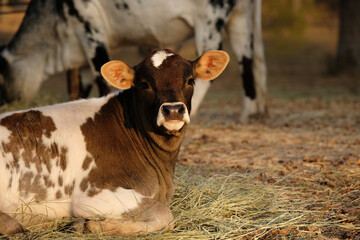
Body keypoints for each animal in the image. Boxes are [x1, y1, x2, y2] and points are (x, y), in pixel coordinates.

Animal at [0, 0, 264, 124]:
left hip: (209, 21)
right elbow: (84, 83)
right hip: (240, 19)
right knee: (246, 62)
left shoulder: (91, 30)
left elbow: (101, 79)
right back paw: (247, 114)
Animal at [0, 48, 231, 234]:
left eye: (190, 80)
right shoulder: (91, 194)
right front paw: (89, 225)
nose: (173, 109)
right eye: (144, 84)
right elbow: (164, 214)